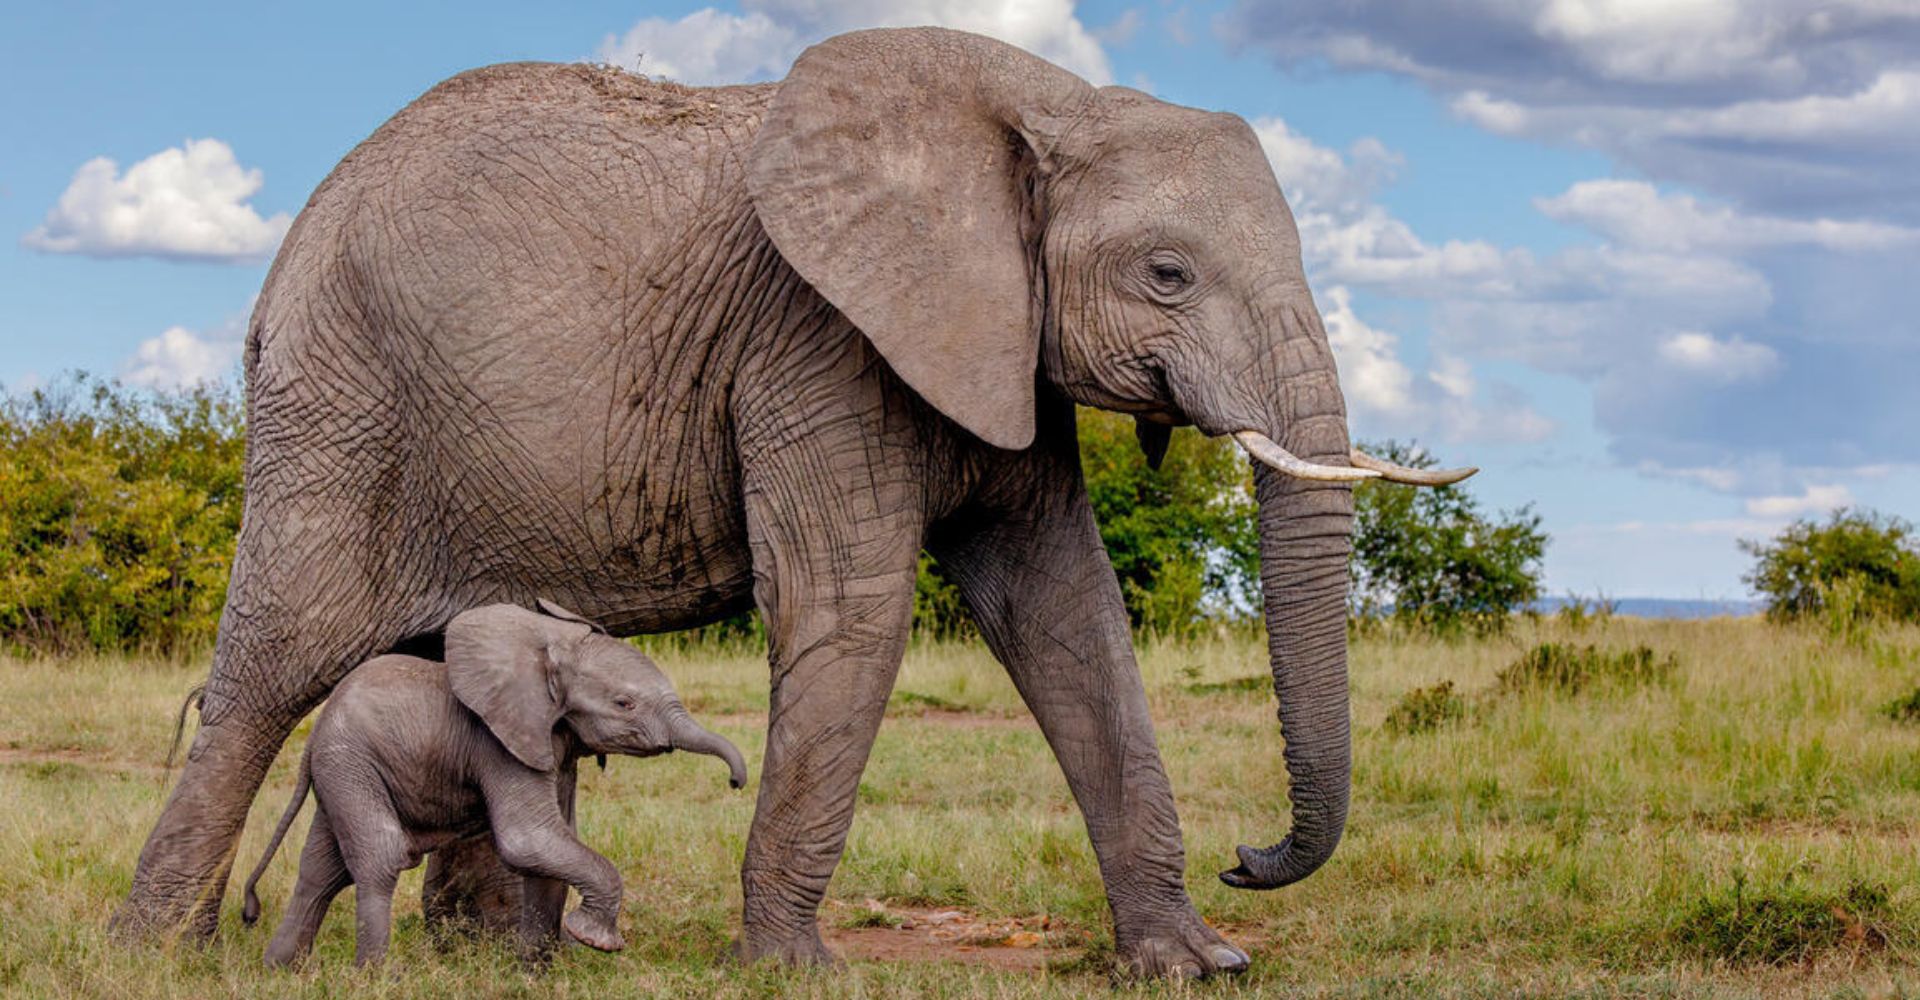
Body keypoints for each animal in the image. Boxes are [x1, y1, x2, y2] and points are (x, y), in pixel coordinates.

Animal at [238, 601, 749, 967]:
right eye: (625, 704)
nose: (736, 781)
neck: (549, 648)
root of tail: (313, 736)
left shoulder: (550, 743)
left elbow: (554, 843)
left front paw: (535, 972)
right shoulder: (498, 741)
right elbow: (529, 839)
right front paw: (594, 940)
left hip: (345, 769)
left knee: (322, 869)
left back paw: (281, 970)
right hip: (350, 761)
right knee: (380, 855)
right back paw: (376, 976)